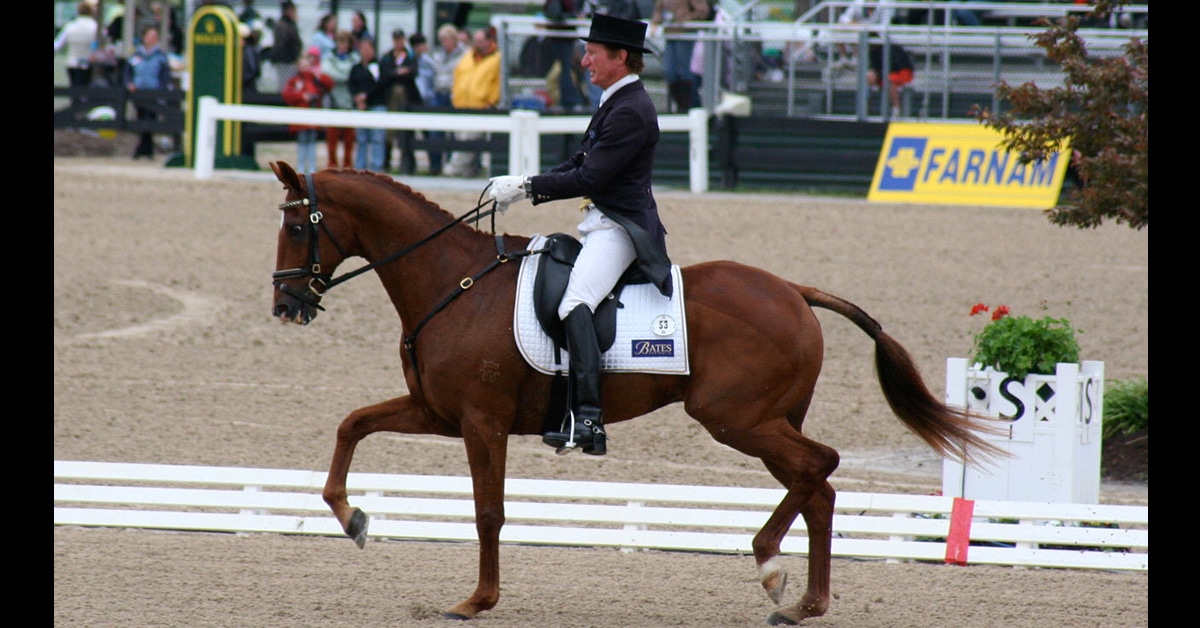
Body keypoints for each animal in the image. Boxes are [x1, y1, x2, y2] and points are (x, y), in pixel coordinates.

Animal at [268, 161, 1005, 625]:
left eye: (299, 226)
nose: (285, 305)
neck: (456, 282)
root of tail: (794, 291)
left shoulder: (481, 422)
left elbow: (488, 514)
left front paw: (475, 601)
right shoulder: (437, 412)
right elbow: (352, 424)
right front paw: (352, 518)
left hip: (735, 419)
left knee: (820, 468)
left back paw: (771, 565)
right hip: (766, 421)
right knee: (815, 486)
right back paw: (801, 603)